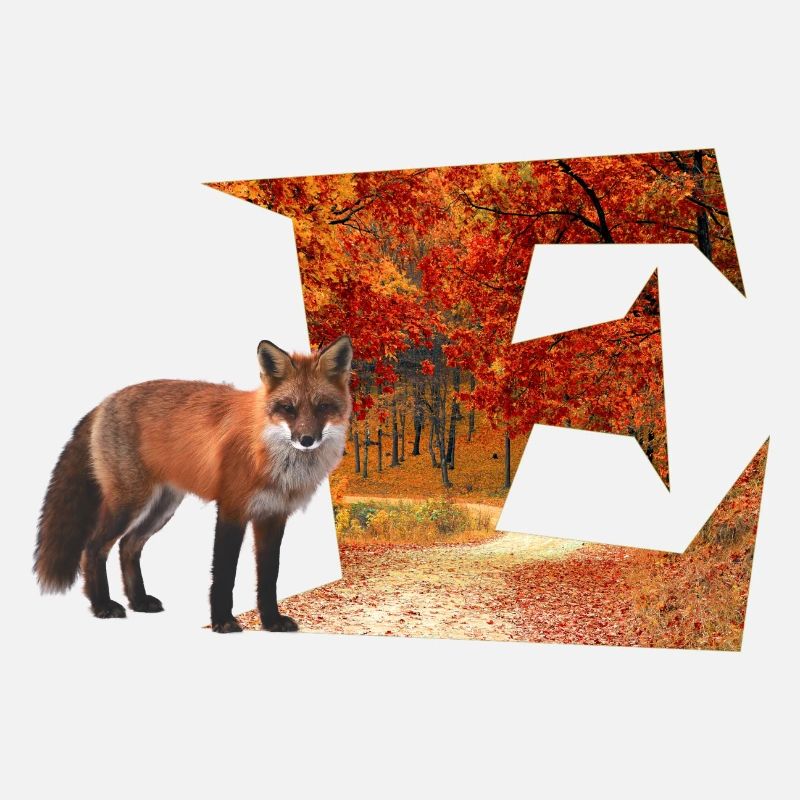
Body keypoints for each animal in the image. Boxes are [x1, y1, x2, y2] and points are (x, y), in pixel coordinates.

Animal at [34, 335, 353, 633]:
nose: (306, 440)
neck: (269, 454)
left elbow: (269, 577)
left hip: (162, 508)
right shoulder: (232, 509)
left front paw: (271, 622)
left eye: (323, 407)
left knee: (128, 546)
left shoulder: (273, 516)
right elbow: (224, 573)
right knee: (93, 548)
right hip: (129, 504)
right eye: (288, 408)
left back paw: (138, 601)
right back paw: (102, 605)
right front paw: (223, 621)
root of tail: (105, 401)